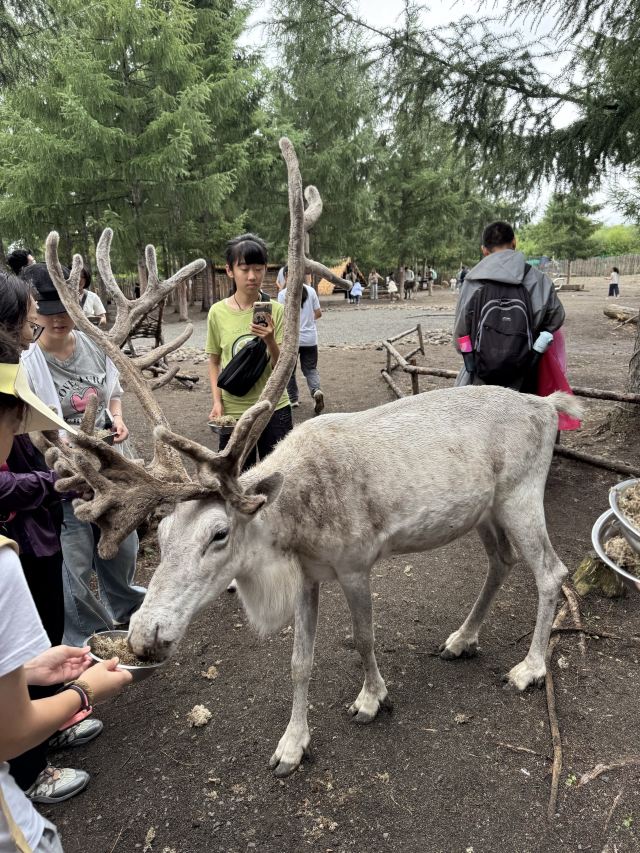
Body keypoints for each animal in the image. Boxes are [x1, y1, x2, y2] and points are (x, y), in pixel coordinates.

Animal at [40, 138, 582, 777]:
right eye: (164, 532)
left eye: (219, 534)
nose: (145, 636)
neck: (293, 525)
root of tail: (546, 407)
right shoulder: (307, 577)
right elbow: (300, 662)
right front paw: (292, 745)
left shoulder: (356, 562)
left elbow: (364, 638)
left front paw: (372, 699)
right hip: (486, 509)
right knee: (502, 562)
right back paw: (461, 639)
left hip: (522, 493)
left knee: (550, 571)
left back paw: (529, 668)